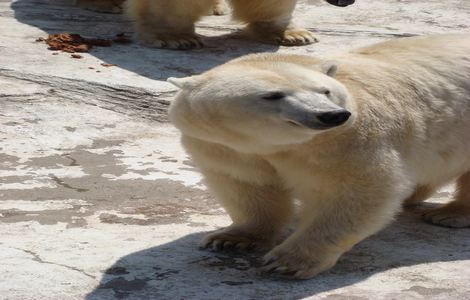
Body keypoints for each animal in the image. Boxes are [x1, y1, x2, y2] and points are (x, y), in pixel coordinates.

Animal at [167, 34, 470, 278]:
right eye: (273, 95)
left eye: (325, 91)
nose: (331, 115)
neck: (276, 145)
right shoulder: (224, 147)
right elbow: (247, 186)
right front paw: (232, 238)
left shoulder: (347, 142)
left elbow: (356, 192)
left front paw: (287, 262)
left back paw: (448, 214)